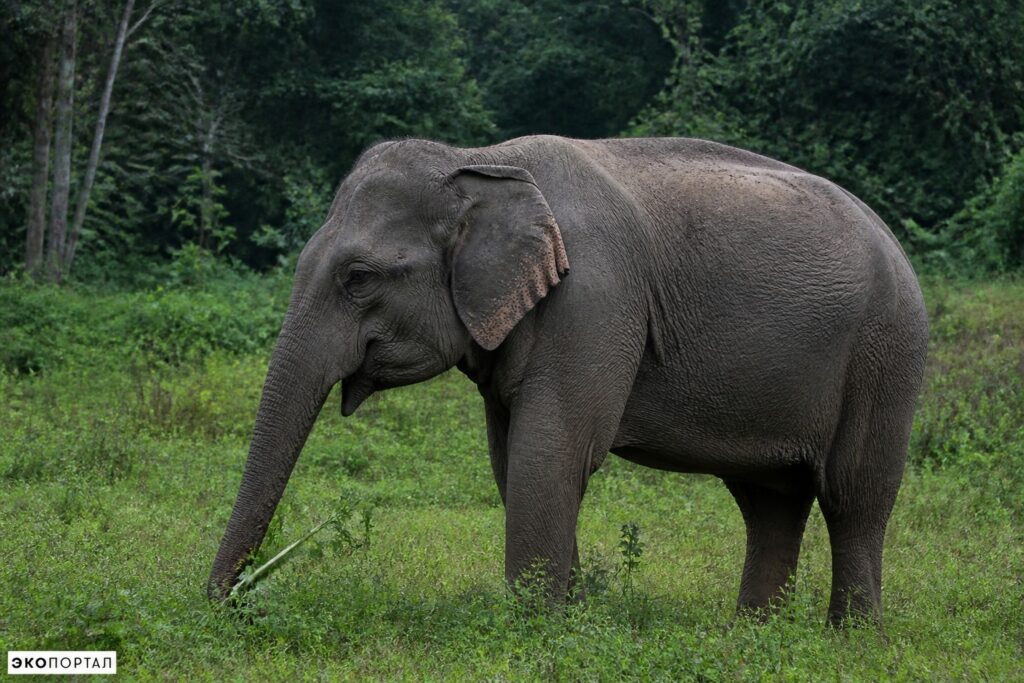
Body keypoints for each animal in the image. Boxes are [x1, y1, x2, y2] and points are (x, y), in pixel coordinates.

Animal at [207, 135, 928, 626]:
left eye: (357, 278)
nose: (235, 603)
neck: (482, 159)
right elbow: (512, 459)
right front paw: (570, 616)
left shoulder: (595, 298)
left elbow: (552, 451)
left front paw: (536, 628)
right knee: (770, 500)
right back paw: (752, 635)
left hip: (886, 351)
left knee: (854, 495)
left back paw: (848, 638)